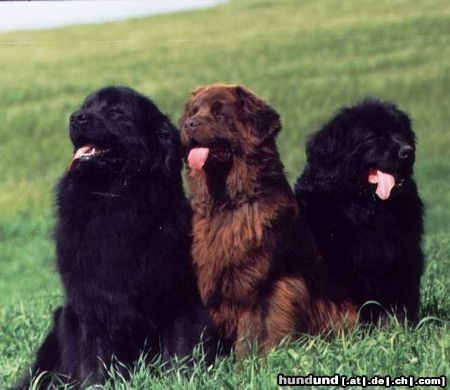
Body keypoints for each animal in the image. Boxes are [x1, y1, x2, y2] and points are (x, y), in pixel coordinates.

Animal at [18, 87, 214, 388]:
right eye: (85, 106)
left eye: (116, 111)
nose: (76, 117)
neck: (112, 195)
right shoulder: (91, 299)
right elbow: (95, 354)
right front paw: (96, 383)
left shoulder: (179, 293)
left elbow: (179, 347)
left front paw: (179, 379)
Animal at [179, 84, 358, 354]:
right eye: (194, 111)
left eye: (219, 113)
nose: (189, 124)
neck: (228, 203)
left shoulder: (265, 284)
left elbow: (256, 329)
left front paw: (250, 361)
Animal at [296, 98, 426, 322]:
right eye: (375, 136)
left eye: (402, 133)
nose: (407, 151)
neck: (366, 202)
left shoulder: (405, 253)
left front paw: (400, 323)